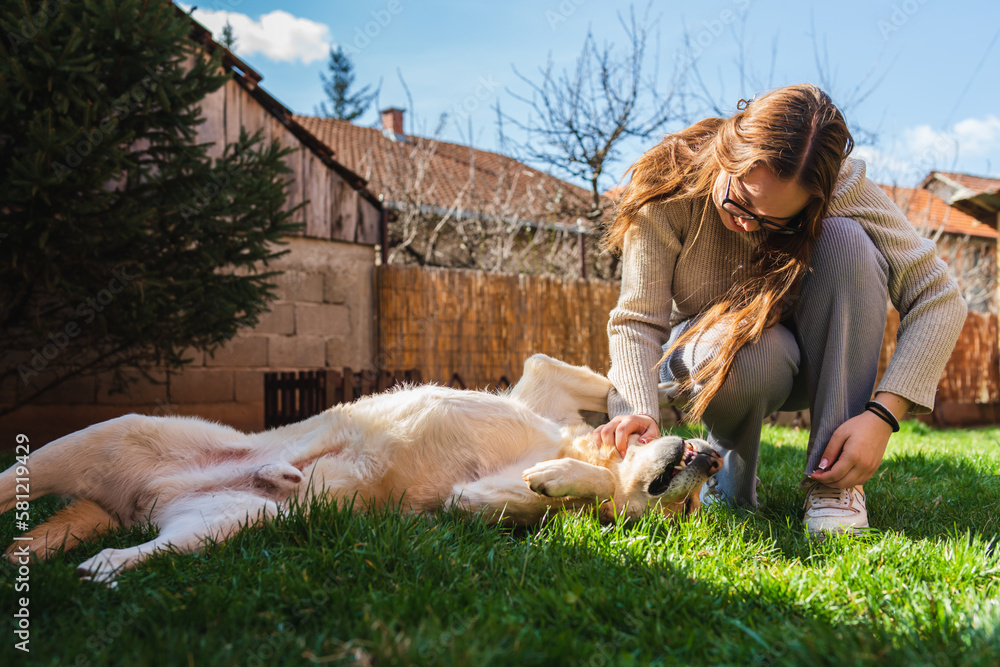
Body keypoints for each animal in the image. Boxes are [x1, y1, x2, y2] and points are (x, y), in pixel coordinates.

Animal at [0, 354, 720, 584]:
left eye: (689, 510)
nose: (713, 457)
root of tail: (137, 505)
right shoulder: (540, 382)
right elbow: (597, 382)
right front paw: (662, 402)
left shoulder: (472, 496)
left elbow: (569, 492)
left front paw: (566, 481)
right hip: (101, 435)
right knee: (10, 480)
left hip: (222, 525)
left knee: (150, 549)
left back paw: (106, 562)